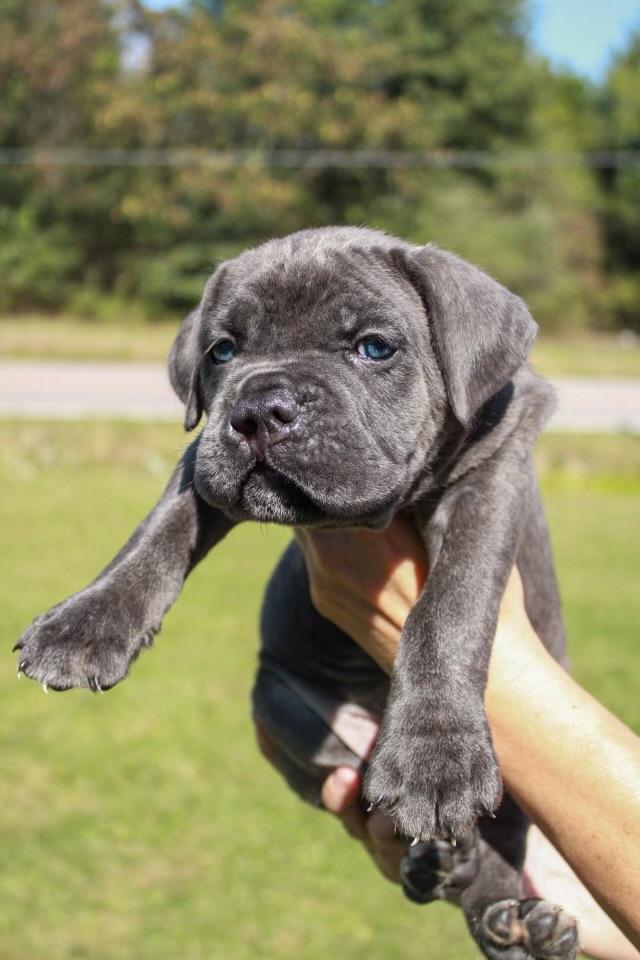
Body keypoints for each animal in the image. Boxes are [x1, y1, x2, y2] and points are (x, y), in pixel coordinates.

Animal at [15, 226, 578, 959]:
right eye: (223, 351)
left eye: (374, 348)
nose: (258, 409)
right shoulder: (203, 461)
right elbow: (161, 527)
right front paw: (83, 626)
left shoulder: (491, 478)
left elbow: (450, 605)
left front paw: (433, 757)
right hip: (288, 713)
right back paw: (446, 868)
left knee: (503, 839)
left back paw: (513, 916)